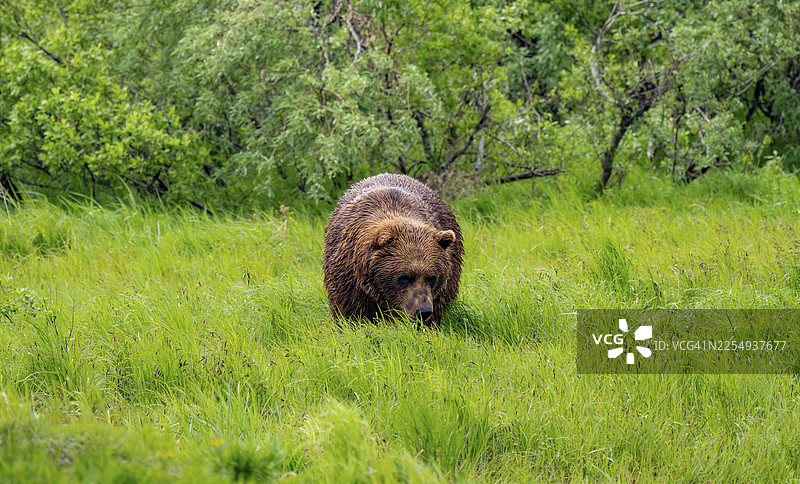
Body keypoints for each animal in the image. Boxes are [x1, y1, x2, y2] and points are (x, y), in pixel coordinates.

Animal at [323, 174, 463, 325]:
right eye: (405, 277)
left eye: (432, 277)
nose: (423, 311)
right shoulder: (350, 278)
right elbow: (352, 313)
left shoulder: (436, 294)